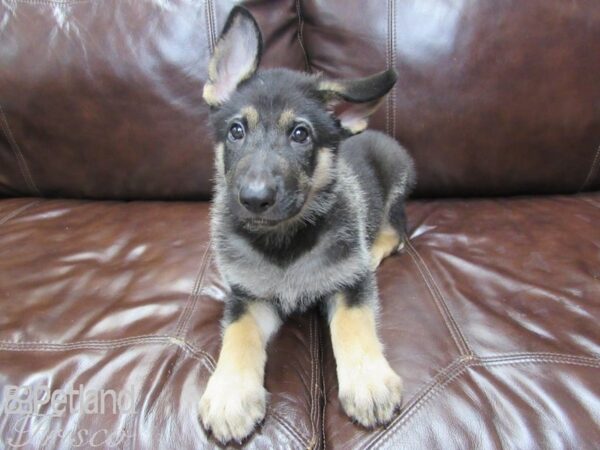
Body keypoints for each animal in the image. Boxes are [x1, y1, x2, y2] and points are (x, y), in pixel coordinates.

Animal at [199, 6, 414, 442]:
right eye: (236, 130)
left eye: (300, 134)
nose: (254, 199)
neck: (283, 242)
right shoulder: (246, 295)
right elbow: (237, 334)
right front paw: (230, 392)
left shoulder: (349, 282)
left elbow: (352, 324)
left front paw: (367, 379)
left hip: (396, 182)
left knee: (396, 231)